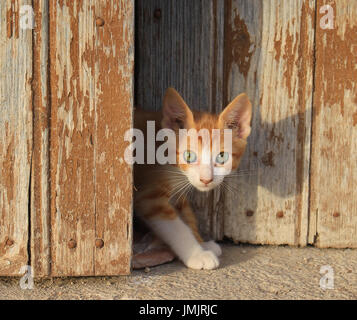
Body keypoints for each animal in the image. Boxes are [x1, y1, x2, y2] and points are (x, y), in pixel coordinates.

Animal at [132, 88, 252, 270]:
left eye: (222, 157)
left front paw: (202, 244)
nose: (206, 179)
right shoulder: (149, 197)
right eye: (189, 156)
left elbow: (188, 216)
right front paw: (197, 254)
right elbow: (176, 228)